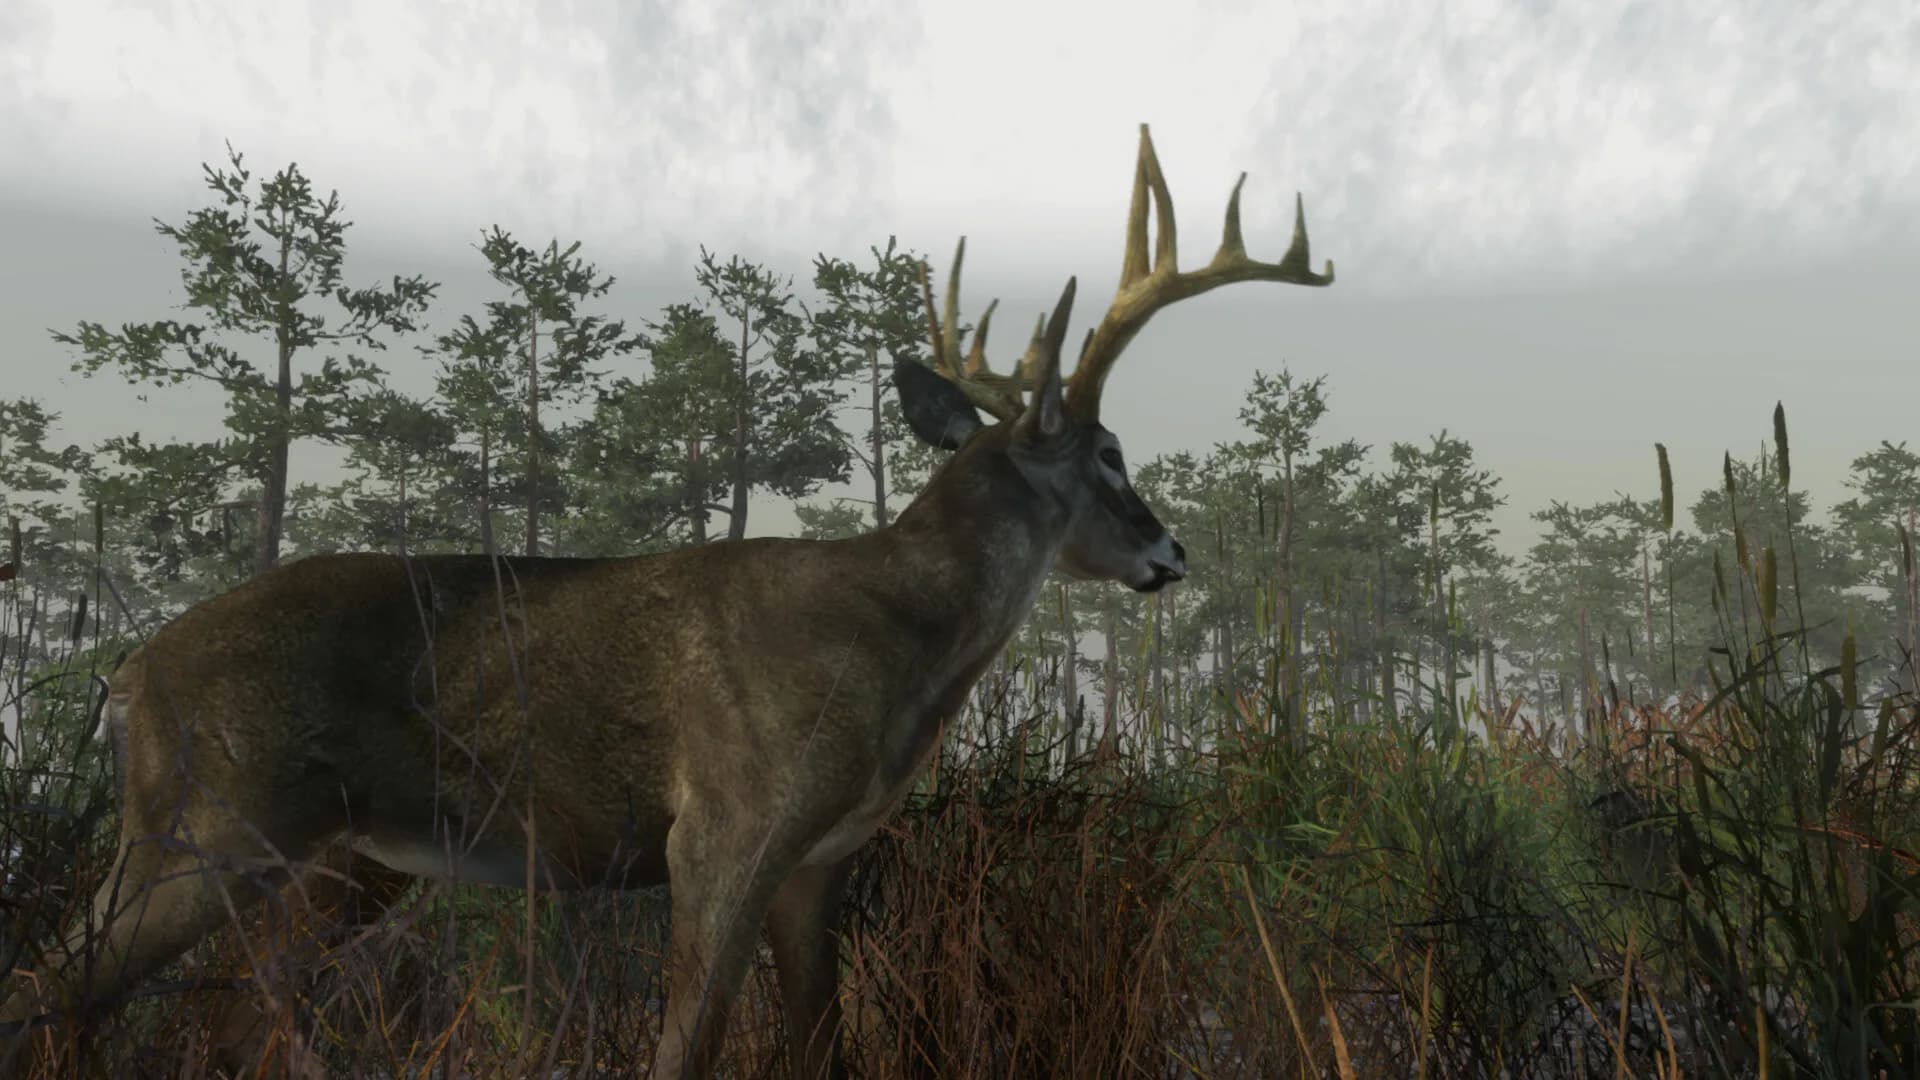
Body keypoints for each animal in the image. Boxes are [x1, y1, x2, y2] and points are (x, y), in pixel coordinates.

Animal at [0, 123, 1333, 1079]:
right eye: (1108, 453)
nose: (1171, 551)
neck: (896, 646)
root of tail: (128, 676)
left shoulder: (816, 862)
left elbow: (819, 1049)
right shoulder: (724, 826)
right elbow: (685, 1050)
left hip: (337, 864)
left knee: (235, 1020)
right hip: (207, 822)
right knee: (52, 990)